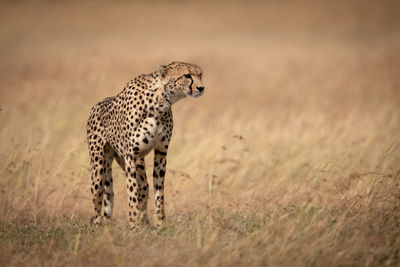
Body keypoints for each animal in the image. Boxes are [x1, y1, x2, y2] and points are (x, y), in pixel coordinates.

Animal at [88, 61, 206, 231]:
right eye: (187, 75)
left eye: (200, 75)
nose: (201, 88)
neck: (159, 102)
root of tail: (98, 104)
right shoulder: (130, 155)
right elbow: (132, 191)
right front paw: (134, 226)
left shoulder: (161, 152)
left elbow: (158, 192)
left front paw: (160, 225)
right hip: (99, 166)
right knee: (99, 196)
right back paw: (99, 226)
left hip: (134, 162)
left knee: (143, 188)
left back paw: (144, 223)